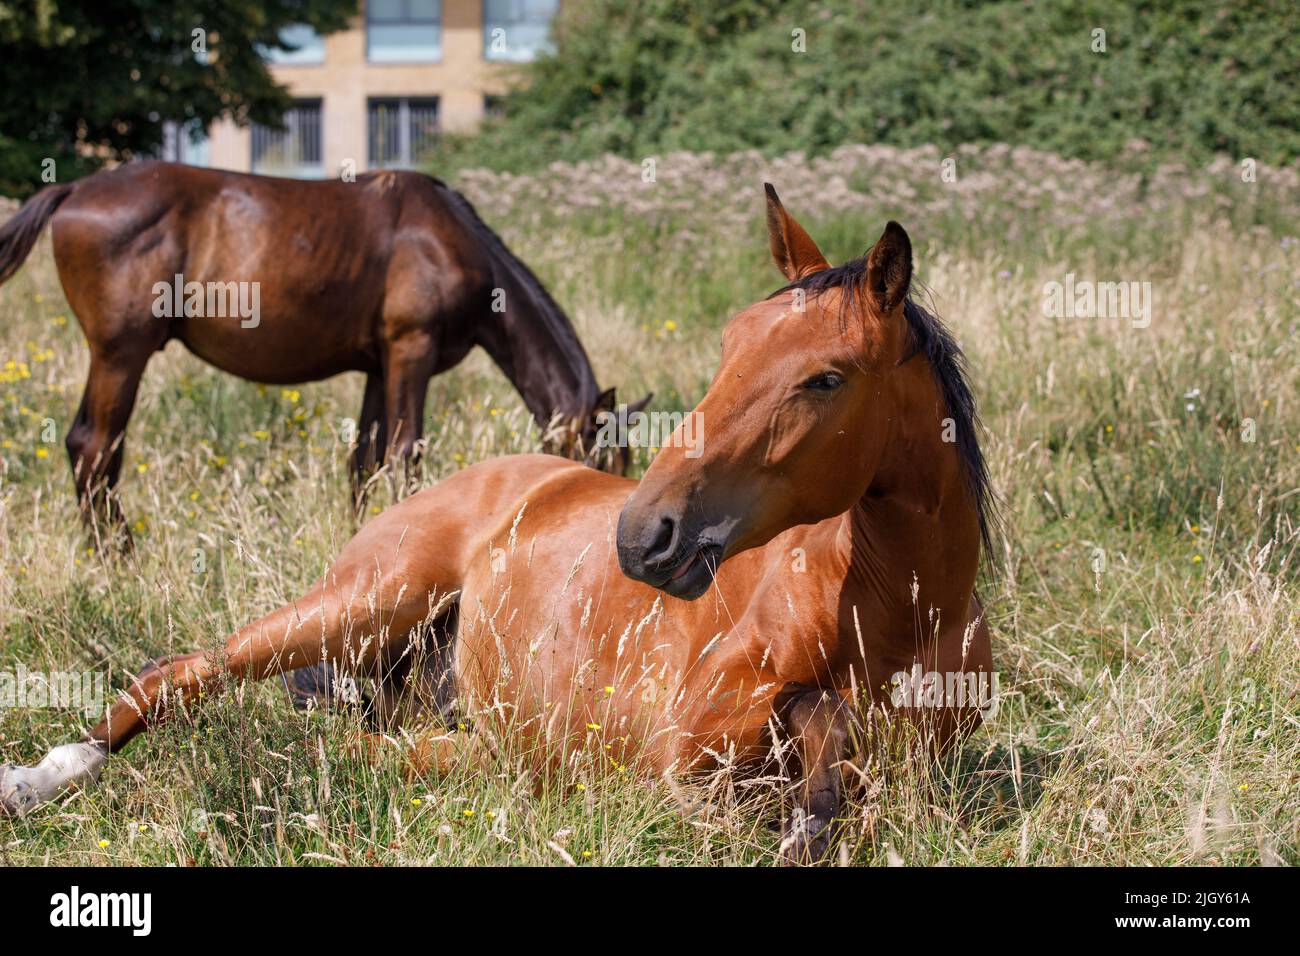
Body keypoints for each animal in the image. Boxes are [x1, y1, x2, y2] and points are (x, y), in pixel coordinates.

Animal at [0, 161, 644, 534]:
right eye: (607, 463)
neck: (457, 244)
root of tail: (74, 188)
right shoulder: (411, 352)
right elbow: (405, 453)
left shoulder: (380, 366)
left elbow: (364, 462)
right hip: (120, 354)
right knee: (94, 446)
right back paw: (118, 553)